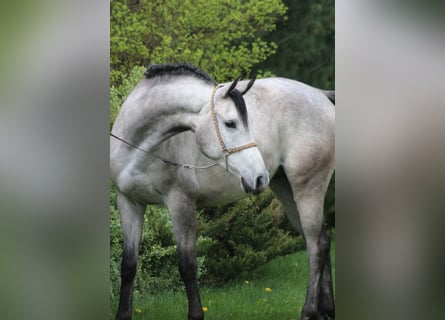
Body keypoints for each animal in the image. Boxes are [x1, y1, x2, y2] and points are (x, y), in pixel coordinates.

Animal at [111, 63, 332, 320]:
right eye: (230, 123)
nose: (260, 177)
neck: (138, 148)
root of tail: (320, 95)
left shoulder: (180, 203)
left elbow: (188, 266)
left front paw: (196, 315)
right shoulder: (129, 202)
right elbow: (128, 265)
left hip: (307, 189)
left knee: (316, 247)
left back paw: (309, 311)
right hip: (287, 190)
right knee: (322, 240)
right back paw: (325, 311)